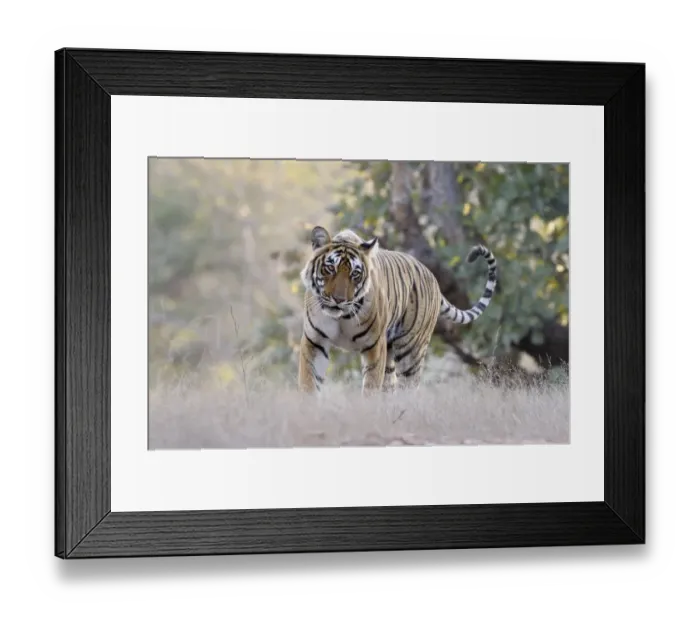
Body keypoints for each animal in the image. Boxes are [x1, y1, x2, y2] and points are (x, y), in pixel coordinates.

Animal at [297, 225, 498, 395]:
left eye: (355, 274)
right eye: (330, 268)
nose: (339, 300)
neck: (341, 316)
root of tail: (432, 277)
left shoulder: (374, 346)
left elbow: (371, 387)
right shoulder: (315, 342)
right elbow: (309, 383)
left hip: (411, 351)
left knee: (408, 388)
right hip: (390, 352)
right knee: (391, 386)